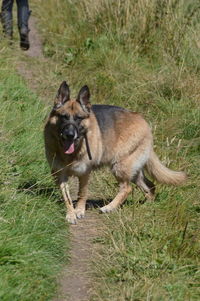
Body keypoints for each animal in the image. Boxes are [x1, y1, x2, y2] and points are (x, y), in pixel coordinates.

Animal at [44, 81, 188, 223]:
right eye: (63, 117)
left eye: (79, 118)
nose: (70, 135)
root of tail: (143, 121)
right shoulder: (59, 174)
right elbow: (66, 197)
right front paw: (70, 214)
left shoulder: (84, 173)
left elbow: (82, 193)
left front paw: (79, 210)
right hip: (133, 172)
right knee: (150, 187)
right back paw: (147, 207)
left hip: (119, 166)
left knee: (127, 188)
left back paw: (109, 207)